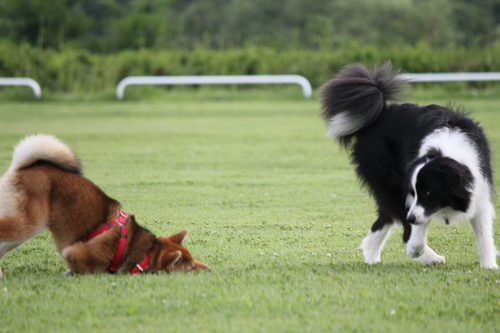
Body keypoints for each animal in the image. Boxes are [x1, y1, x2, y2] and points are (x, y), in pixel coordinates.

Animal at [0, 134, 209, 276]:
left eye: (193, 259)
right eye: (190, 267)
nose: (207, 268)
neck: (146, 252)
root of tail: (20, 167)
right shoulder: (74, 254)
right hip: (28, 224)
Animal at [322, 61, 498, 268]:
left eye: (428, 192)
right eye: (415, 192)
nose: (411, 218)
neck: (446, 149)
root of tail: (380, 113)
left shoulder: (480, 188)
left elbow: (484, 234)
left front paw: (489, 266)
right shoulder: (411, 196)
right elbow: (415, 230)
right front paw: (415, 250)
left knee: (384, 219)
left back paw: (372, 257)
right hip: (389, 181)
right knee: (397, 219)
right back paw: (430, 256)